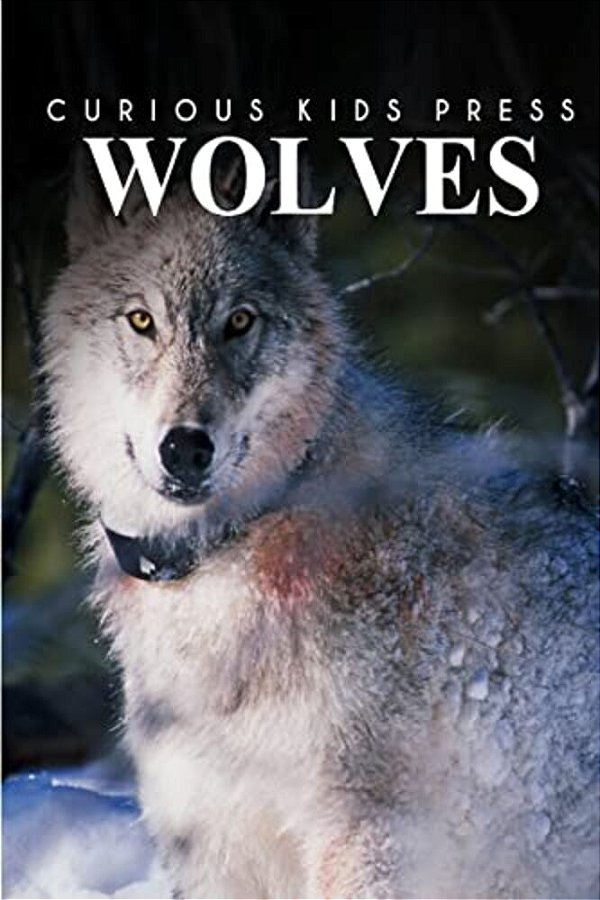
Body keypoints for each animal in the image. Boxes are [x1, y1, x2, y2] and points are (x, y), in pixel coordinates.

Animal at [41, 159, 599, 899]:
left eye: (239, 321)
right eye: (141, 320)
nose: (186, 447)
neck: (232, 548)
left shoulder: (364, 834)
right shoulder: (211, 839)